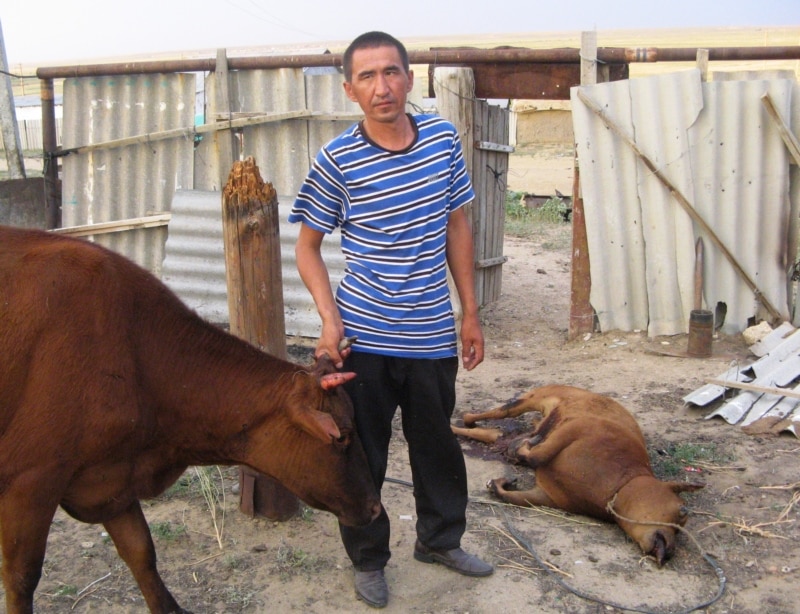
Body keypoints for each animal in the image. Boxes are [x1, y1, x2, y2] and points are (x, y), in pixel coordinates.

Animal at [0, 225, 381, 614]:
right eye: (341, 436)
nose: (375, 507)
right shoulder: (30, 480)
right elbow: (21, 578)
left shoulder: (111, 478)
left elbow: (141, 551)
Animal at [451, 385, 704, 566]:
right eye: (683, 511)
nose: (669, 553)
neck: (621, 486)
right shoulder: (579, 428)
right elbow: (536, 455)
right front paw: (524, 448)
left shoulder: (547, 495)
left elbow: (513, 495)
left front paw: (502, 483)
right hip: (534, 397)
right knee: (493, 412)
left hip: (501, 433)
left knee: (485, 431)